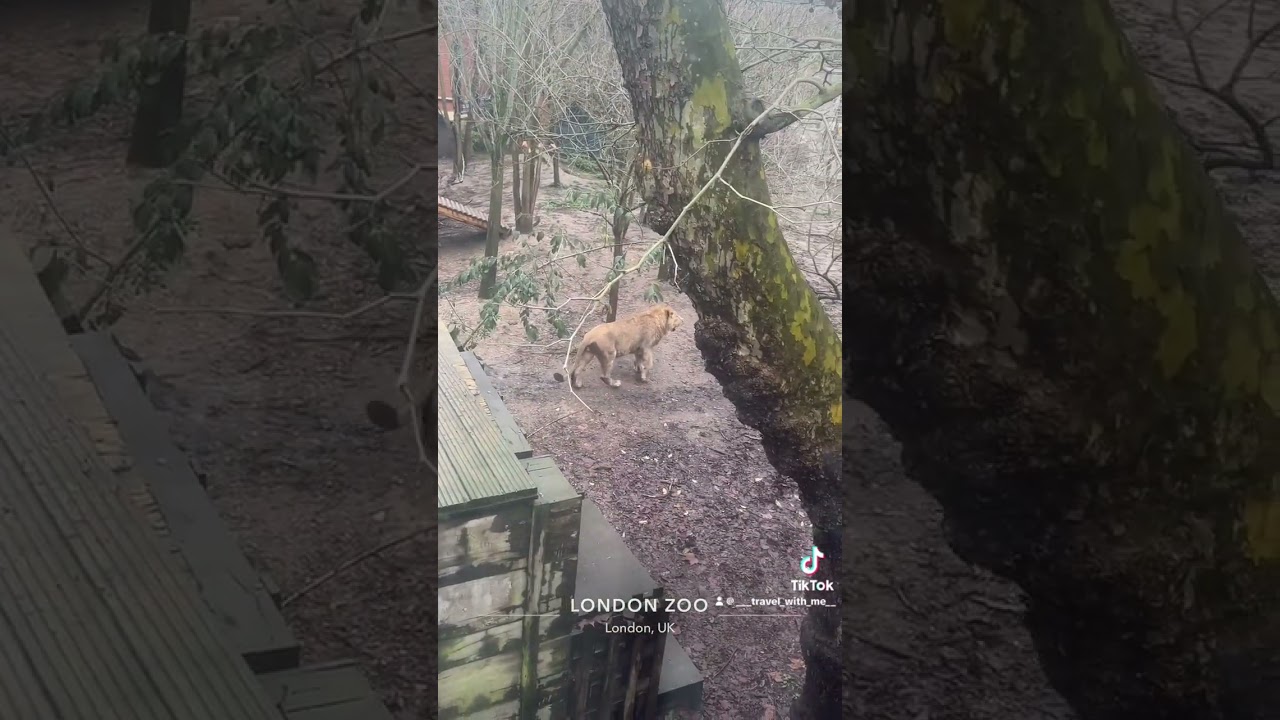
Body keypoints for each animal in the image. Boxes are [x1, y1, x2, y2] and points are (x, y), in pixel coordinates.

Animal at [553, 304, 684, 388]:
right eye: (676, 316)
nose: (683, 320)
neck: (657, 318)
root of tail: (588, 336)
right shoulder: (647, 347)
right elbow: (649, 363)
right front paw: (644, 377)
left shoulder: (638, 348)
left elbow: (638, 360)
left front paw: (638, 369)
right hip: (610, 354)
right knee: (604, 376)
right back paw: (615, 384)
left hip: (588, 354)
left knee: (577, 370)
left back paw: (578, 384)